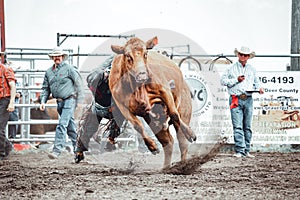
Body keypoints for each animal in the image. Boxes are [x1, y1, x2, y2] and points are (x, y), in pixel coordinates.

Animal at [110, 36, 197, 169]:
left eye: (146, 53)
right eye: (128, 56)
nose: (142, 75)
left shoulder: (164, 90)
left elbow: (174, 114)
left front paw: (190, 133)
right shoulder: (122, 105)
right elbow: (137, 125)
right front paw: (152, 146)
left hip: (184, 110)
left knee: (182, 139)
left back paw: (183, 162)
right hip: (156, 123)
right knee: (168, 142)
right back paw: (165, 167)